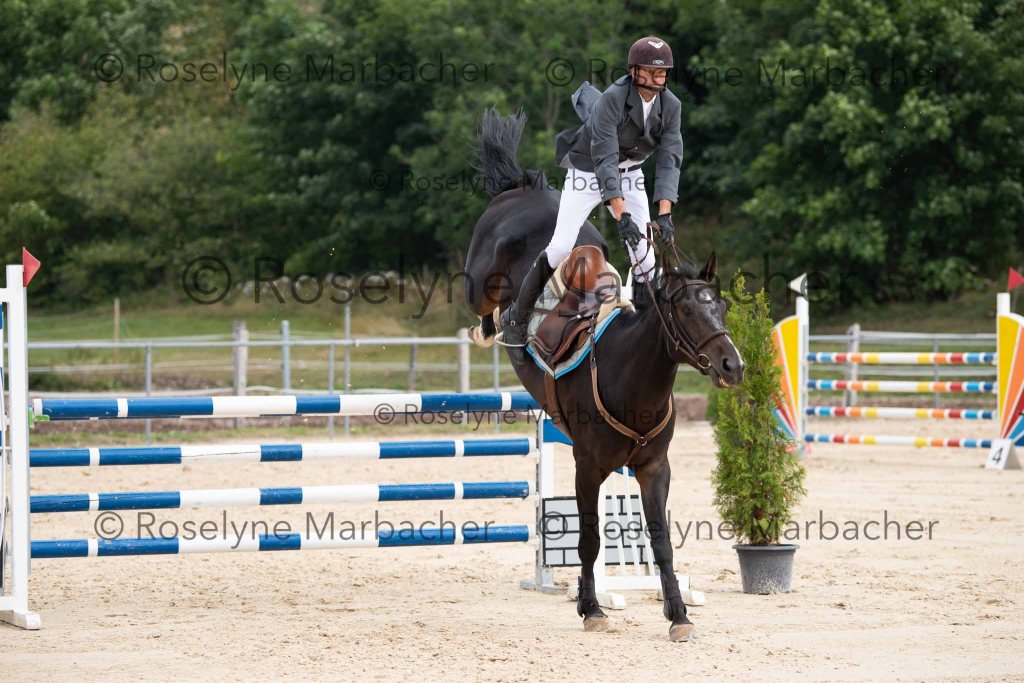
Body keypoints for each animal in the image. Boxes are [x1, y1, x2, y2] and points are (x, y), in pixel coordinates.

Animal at [463, 108, 744, 641]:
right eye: (689, 313)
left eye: (720, 307)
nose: (733, 365)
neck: (631, 377)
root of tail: (524, 188)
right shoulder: (588, 466)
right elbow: (590, 540)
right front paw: (592, 608)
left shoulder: (654, 468)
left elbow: (660, 542)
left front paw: (678, 614)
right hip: (481, 278)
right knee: (494, 296)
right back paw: (498, 328)